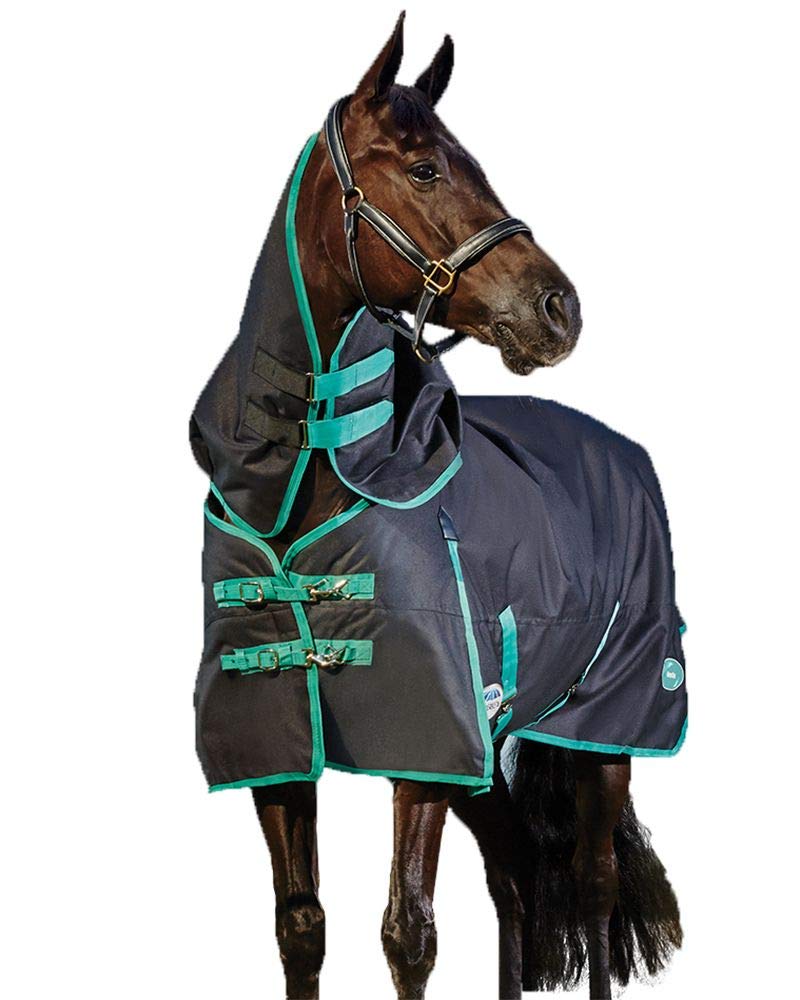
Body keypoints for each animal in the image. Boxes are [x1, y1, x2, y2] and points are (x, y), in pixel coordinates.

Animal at [190, 14, 685, 1000]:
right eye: (424, 169)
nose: (559, 309)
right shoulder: (279, 753)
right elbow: (302, 929)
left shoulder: (422, 746)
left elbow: (407, 935)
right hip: (492, 762)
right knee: (514, 881)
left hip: (607, 729)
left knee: (595, 881)